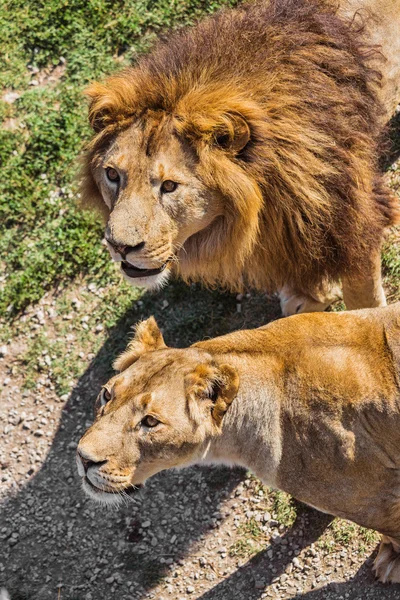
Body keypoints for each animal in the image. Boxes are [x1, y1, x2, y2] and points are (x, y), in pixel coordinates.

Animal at [77, 304, 400, 580]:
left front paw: (391, 562)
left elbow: (393, 534)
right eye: (106, 394)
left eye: (150, 422)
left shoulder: (377, 500)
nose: (83, 457)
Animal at [81, 0, 400, 316]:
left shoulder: (356, 221)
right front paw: (315, 297)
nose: (119, 247)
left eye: (169, 186)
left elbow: (363, 300)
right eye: (112, 175)